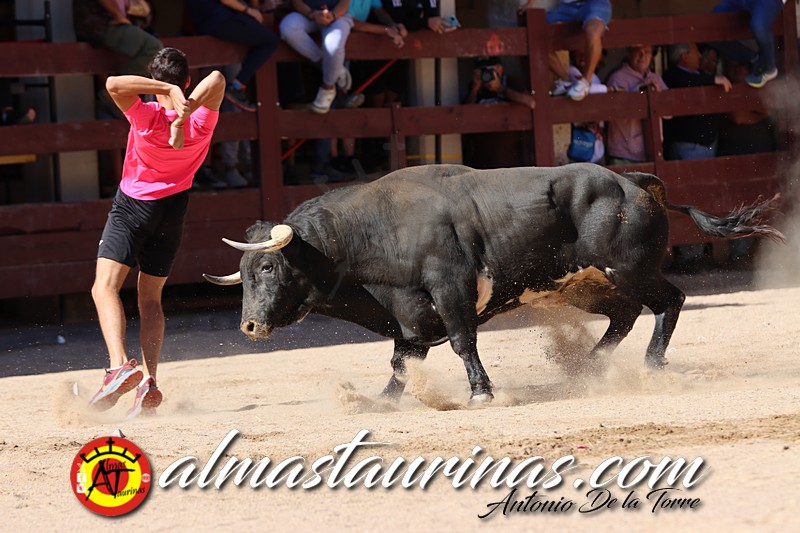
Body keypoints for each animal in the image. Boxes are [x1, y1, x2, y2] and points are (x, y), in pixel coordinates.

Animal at [204, 164, 783, 403]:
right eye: (246, 274)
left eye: (268, 268)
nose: (249, 326)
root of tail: (631, 181)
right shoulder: (410, 315)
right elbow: (402, 360)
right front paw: (381, 399)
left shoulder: (450, 289)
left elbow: (463, 342)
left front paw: (481, 392)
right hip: (585, 284)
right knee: (623, 315)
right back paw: (587, 370)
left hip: (631, 269)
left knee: (671, 301)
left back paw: (649, 366)